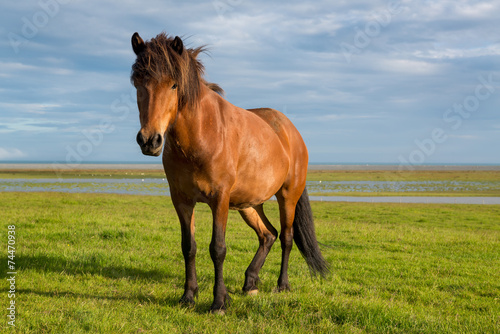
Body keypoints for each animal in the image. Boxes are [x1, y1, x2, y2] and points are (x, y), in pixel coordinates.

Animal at [131, 31, 330, 314]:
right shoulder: (182, 200)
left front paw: (218, 302)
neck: (202, 134)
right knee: (268, 234)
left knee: (287, 238)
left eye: (173, 85)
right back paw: (250, 282)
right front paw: (188, 296)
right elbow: (188, 247)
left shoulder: (219, 199)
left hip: (287, 197)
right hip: (249, 204)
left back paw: (282, 285)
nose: (150, 140)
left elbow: (218, 248)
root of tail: (291, 131)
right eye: (138, 82)